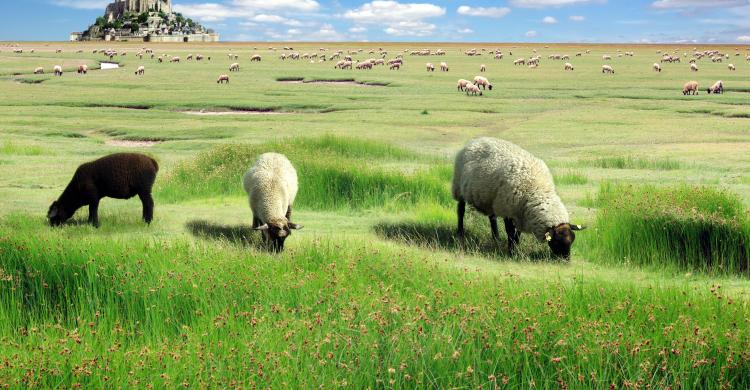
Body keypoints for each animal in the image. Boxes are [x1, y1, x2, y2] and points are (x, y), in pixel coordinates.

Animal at [452, 138, 588, 258]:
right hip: (459, 187)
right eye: (557, 241)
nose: (566, 260)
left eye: (572, 240)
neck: (537, 190)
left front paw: (516, 248)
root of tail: (475, 140)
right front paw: (511, 252)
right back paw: (460, 232)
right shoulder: (508, 210)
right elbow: (510, 232)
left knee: (492, 218)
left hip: (492, 198)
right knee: (460, 211)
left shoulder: (520, 214)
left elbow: (517, 234)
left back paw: (496, 237)